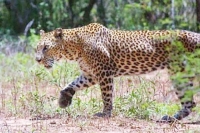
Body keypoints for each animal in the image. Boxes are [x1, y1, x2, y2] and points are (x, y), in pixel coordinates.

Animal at [36, 22, 200, 121]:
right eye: (36, 48)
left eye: (46, 47)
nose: (37, 60)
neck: (75, 47)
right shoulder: (91, 74)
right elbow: (74, 84)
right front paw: (64, 99)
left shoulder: (104, 72)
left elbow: (106, 95)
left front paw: (105, 113)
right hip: (179, 74)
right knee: (190, 103)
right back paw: (171, 118)